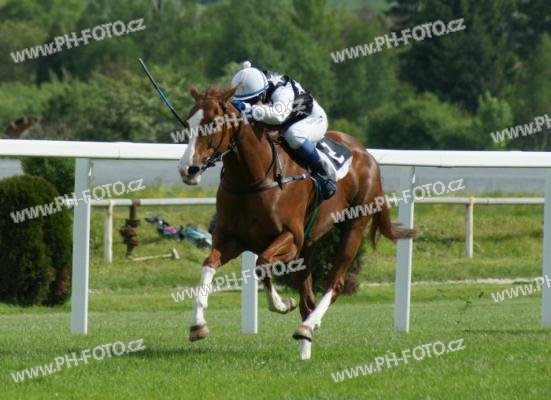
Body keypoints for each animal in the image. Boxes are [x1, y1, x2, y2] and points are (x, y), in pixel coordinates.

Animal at [178, 85, 416, 359]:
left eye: (214, 122)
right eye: (188, 122)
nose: (188, 169)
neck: (255, 179)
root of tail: (366, 154)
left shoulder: (290, 238)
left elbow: (262, 263)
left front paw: (282, 304)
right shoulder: (231, 238)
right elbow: (208, 264)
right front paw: (198, 325)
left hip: (354, 227)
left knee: (334, 283)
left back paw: (307, 327)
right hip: (308, 246)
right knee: (308, 300)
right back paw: (305, 349)